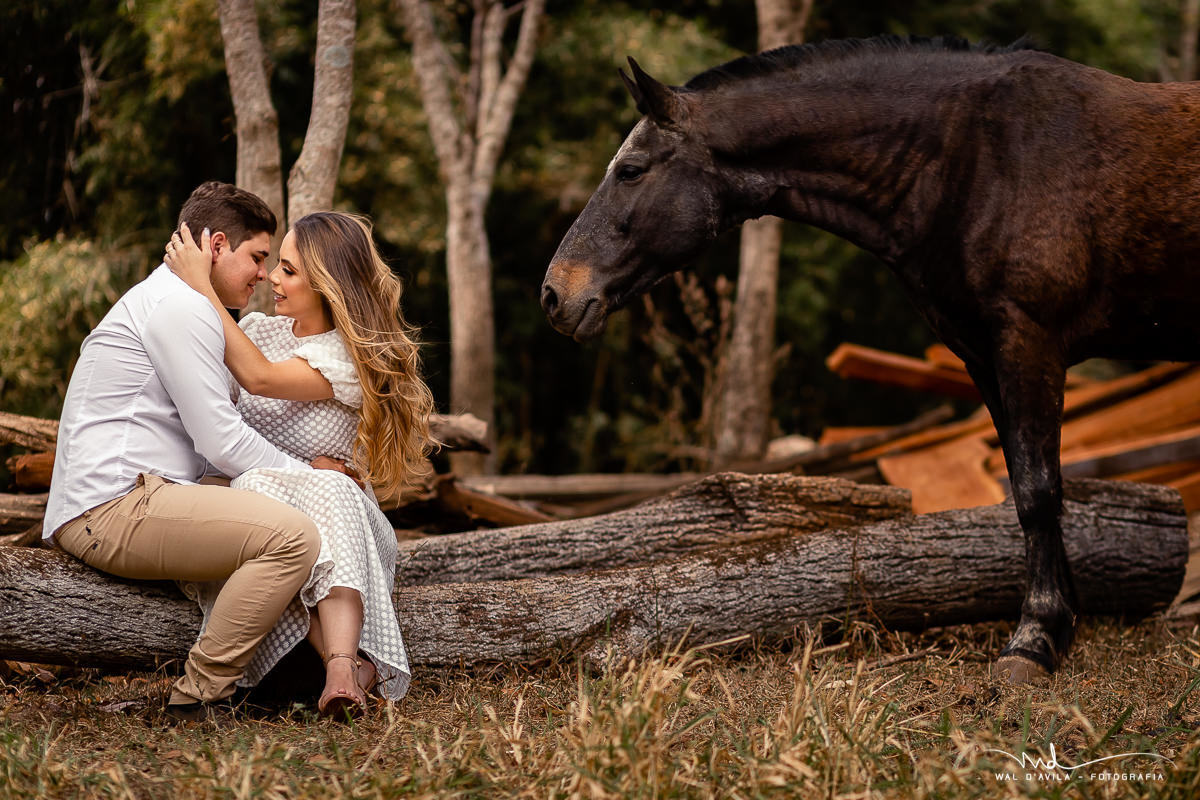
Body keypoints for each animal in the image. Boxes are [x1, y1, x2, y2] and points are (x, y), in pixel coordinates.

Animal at [540, 35, 1200, 683]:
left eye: (630, 170)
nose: (554, 294)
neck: (979, 157)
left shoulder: (1027, 341)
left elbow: (1039, 491)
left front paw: (1033, 641)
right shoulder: (982, 357)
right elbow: (1024, 483)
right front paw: (1059, 625)